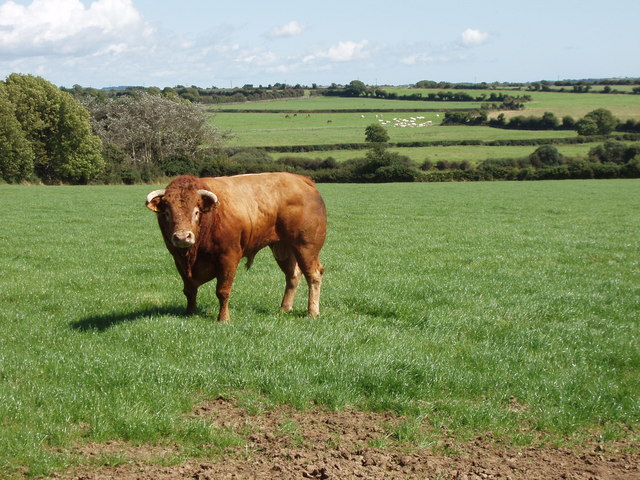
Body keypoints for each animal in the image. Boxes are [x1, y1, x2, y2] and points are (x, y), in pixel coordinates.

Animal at [147, 172, 328, 322]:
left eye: (196, 211)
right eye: (167, 213)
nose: (182, 237)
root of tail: (301, 179)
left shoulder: (228, 258)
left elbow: (223, 291)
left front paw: (223, 318)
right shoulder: (179, 260)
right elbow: (189, 289)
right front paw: (190, 312)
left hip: (306, 247)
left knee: (313, 275)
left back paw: (312, 312)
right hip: (283, 248)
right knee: (293, 275)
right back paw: (285, 307)